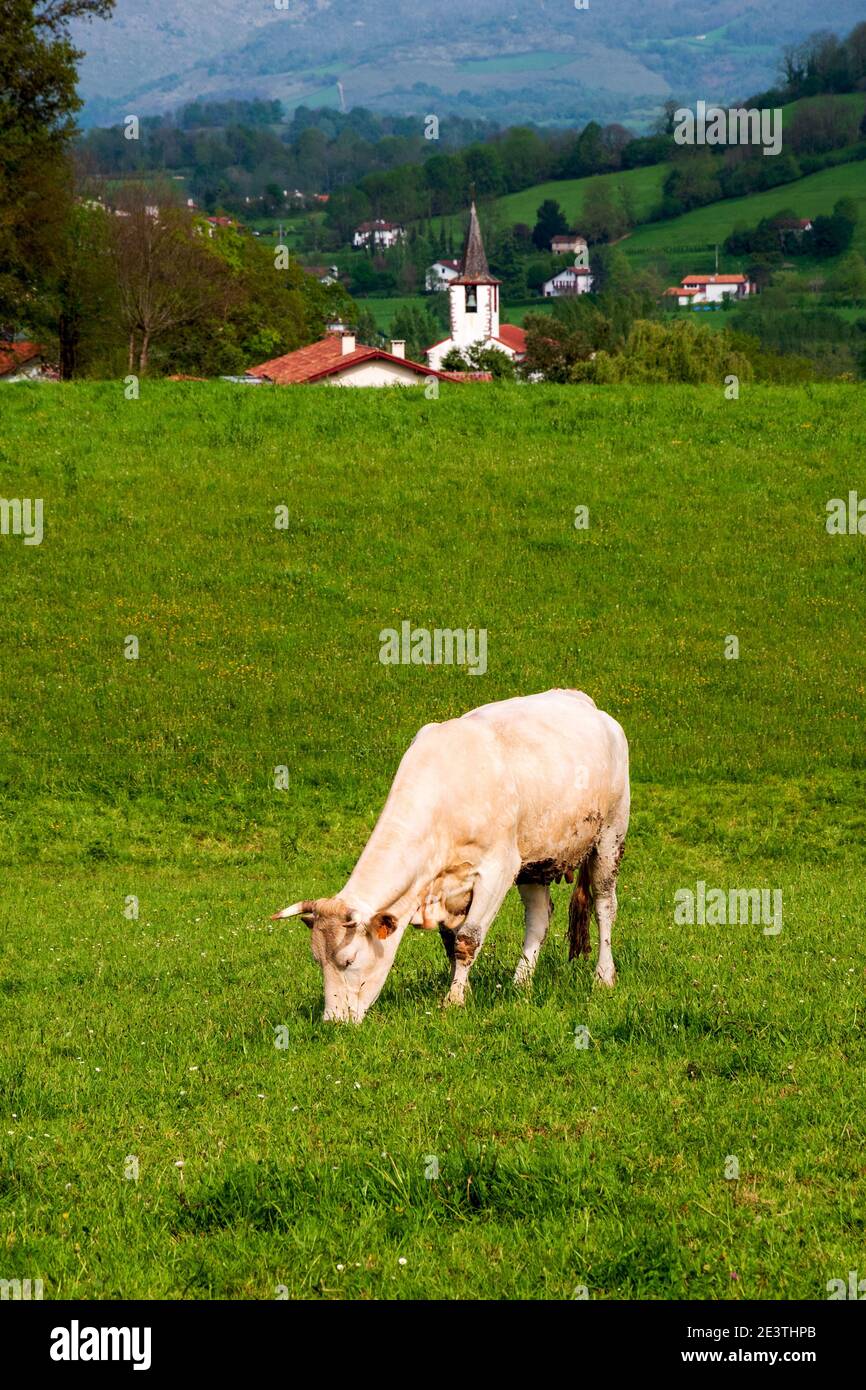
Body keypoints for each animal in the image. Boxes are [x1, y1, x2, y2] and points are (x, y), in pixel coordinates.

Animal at [272, 689, 630, 1022]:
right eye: (317, 960)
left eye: (349, 960)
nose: (333, 1021)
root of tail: (584, 702)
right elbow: (450, 943)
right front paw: (461, 988)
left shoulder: (499, 869)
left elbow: (468, 940)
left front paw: (454, 1000)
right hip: (535, 860)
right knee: (540, 916)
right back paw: (521, 983)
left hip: (611, 834)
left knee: (604, 905)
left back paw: (604, 976)